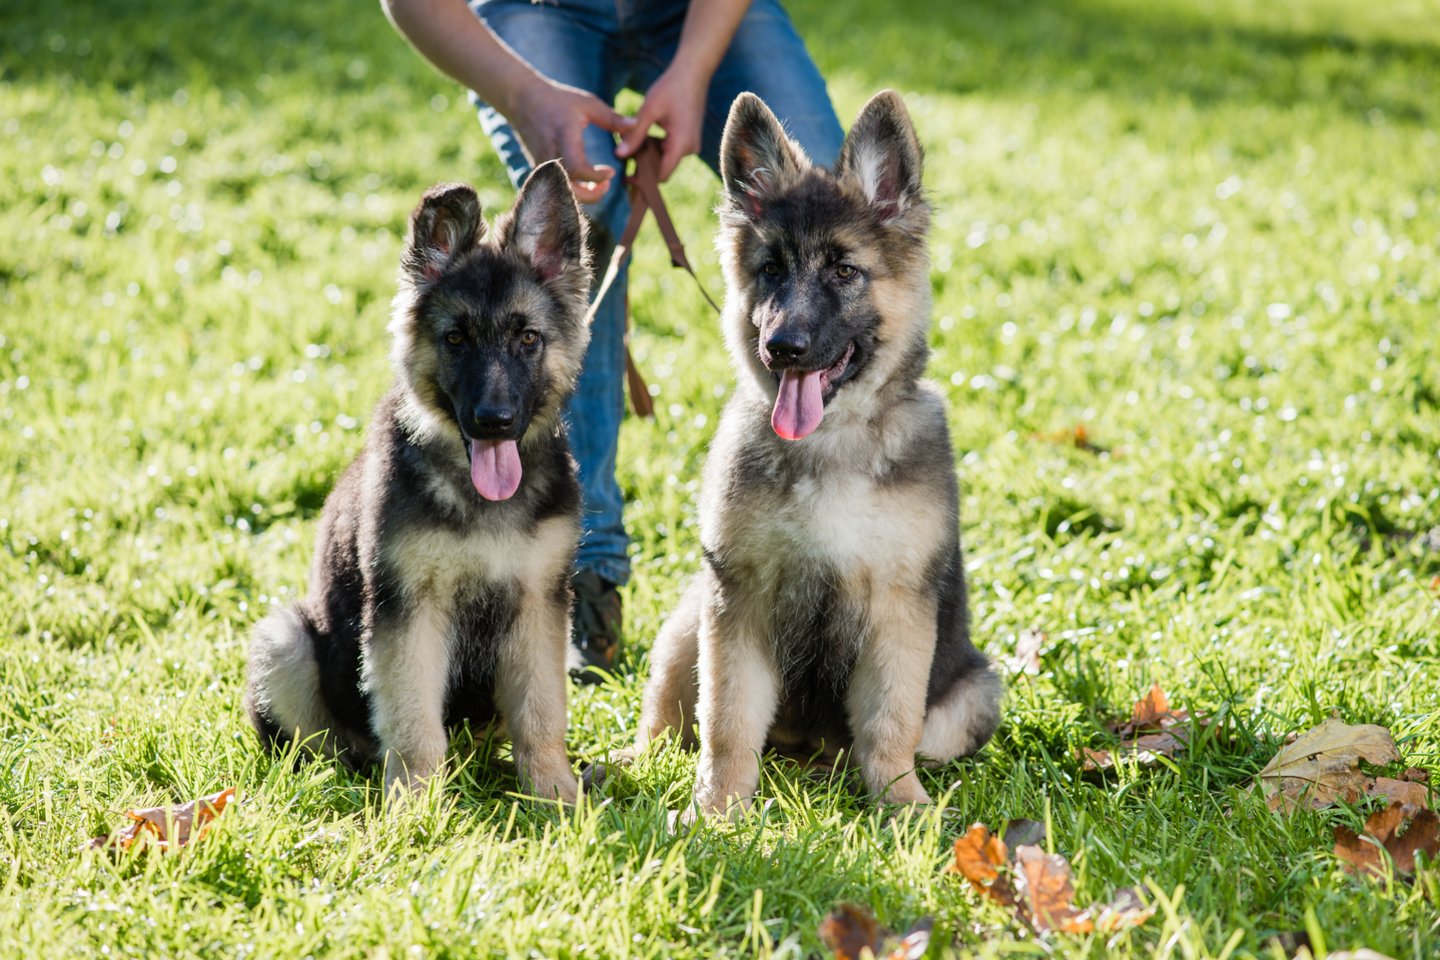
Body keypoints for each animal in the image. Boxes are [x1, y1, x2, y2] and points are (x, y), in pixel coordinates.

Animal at [247, 161, 590, 800]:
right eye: (455, 338)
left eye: (528, 338)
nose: (493, 421)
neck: (478, 498)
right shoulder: (408, 613)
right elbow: (412, 722)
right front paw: (415, 803)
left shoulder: (539, 605)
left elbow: (541, 712)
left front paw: (555, 794)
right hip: (285, 640)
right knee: (322, 744)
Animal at [636, 89, 996, 817]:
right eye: (770, 270)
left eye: (843, 270)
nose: (784, 348)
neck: (830, 443)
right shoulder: (738, 600)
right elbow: (727, 721)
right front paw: (718, 811)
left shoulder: (898, 610)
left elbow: (889, 722)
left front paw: (901, 806)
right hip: (690, 621)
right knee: (665, 718)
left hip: (973, 696)